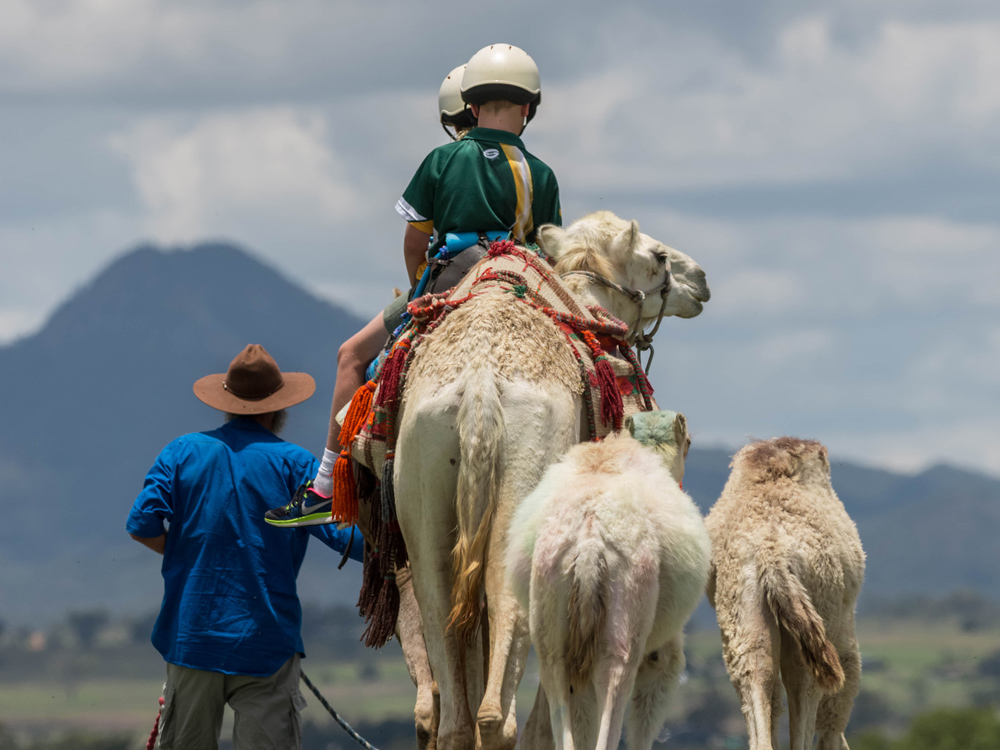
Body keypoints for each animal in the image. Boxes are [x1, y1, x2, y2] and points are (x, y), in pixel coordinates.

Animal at [508, 418, 712, 750]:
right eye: (690, 443)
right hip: (625, 619)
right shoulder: (663, 656)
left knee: (560, 692)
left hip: (554, 626)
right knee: (614, 683)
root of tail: (590, 538)